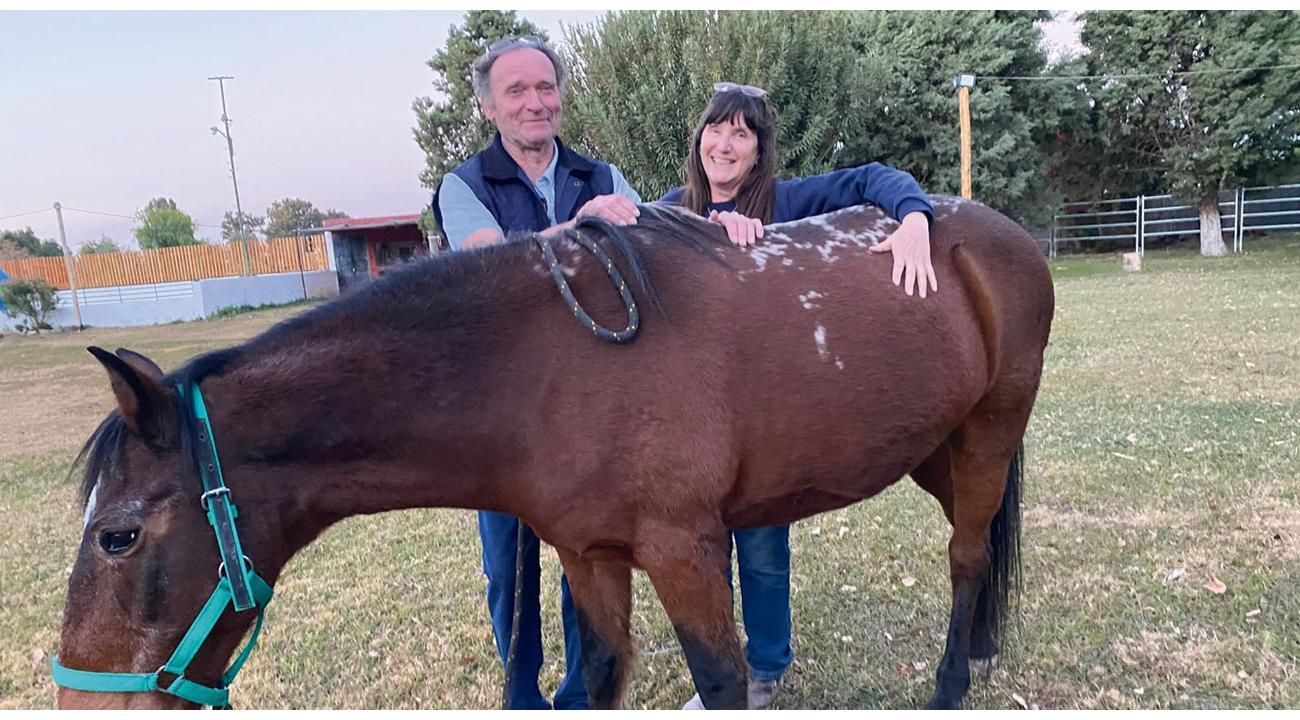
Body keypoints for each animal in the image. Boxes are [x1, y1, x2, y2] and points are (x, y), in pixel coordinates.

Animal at [52, 196, 1054, 709]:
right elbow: (601, 674)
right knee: (979, 544)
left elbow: (723, 680)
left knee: (966, 554)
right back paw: (984, 646)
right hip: (938, 449)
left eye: (117, 536)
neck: (541, 366)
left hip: (990, 431)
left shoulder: (685, 551)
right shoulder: (588, 555)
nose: (81, 705)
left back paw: (951, 682)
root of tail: (993, 230)